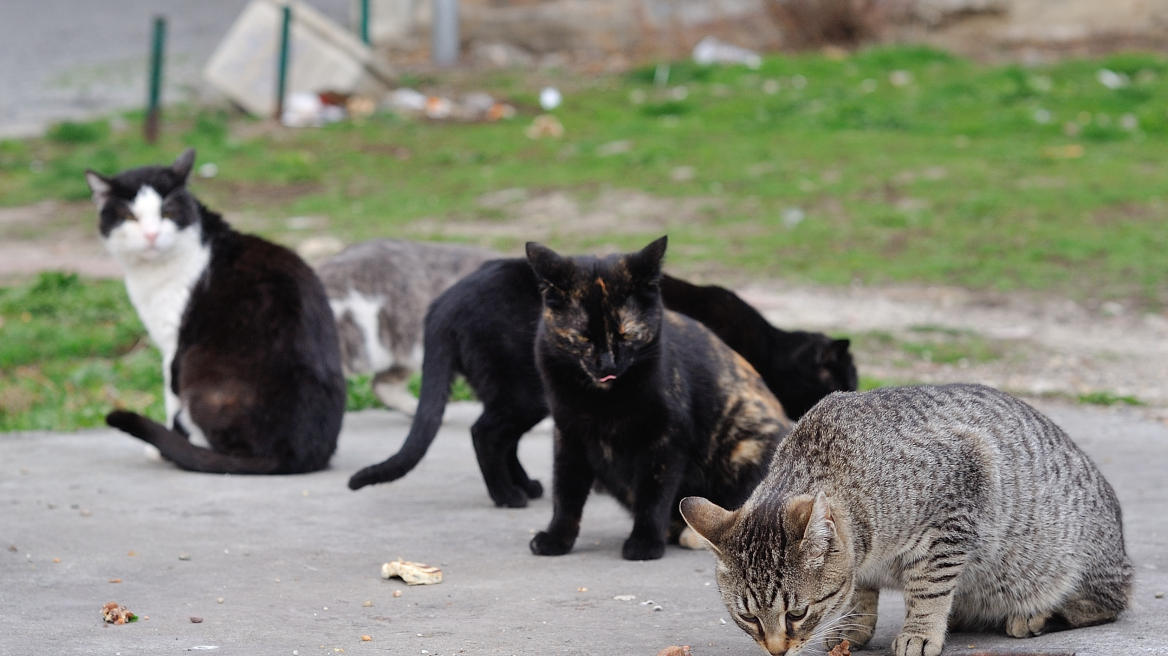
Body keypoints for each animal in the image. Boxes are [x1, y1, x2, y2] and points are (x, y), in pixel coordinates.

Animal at [85, 150, 343, 471]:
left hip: (201, 372)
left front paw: (164, 447)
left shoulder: (174, 345)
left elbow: (171, 395)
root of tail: (295, 453)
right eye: (131, 217)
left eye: (167, 213)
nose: (152, 235)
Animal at [530, 234, 794, 555]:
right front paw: (557, 538)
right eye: (582, 337)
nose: (607, 365)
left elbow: (654, 494)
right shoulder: (569, 436)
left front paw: (644, 542)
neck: (604, 401)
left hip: (747, 442)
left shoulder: (667, 439)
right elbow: (565, 492)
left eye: (628, 335)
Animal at [682, 380, 1130, 653]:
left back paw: (1034, 617)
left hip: (1074, 562)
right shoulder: (861, 564)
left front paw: (919, 632)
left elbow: (928, 589)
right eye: (747, 617)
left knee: (1105, 604)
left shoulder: (954, 512)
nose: (777, 651)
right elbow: (859, 593)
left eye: (797, 614)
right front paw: (852, 627)